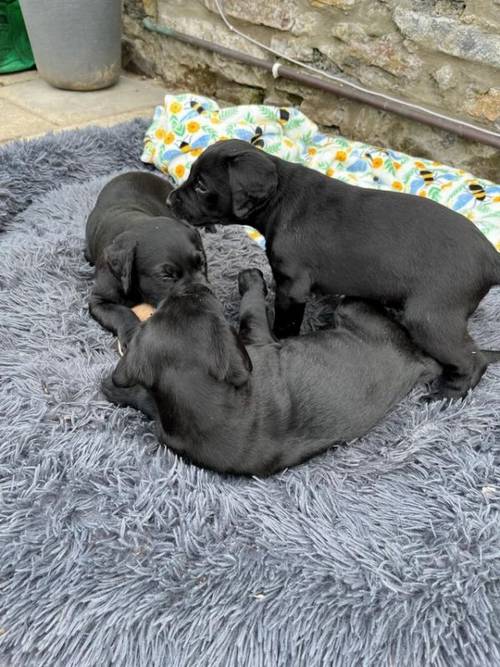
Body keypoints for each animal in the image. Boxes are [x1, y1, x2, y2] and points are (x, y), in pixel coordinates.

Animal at [85, 172, 206, 348]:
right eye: (166, 276)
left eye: (201, 264)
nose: (201, 294)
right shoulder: (99, 299)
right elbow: (120, 312)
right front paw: (132, 335)